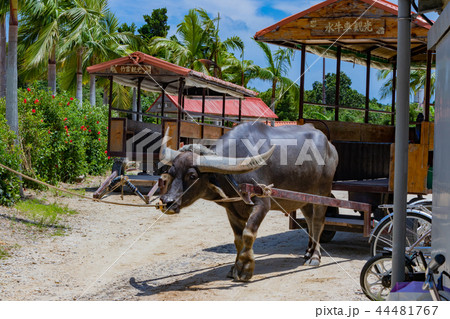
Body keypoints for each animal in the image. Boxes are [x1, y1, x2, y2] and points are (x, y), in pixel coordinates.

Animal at [158, 122, 338, 282]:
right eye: (171, 172)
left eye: (192, 175)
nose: (167, 202)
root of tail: (331, 147)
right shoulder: (232, 209)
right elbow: (238, 239)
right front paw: (234, 267)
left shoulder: (262, 204)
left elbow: (249, 233)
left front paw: (245, 268)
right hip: (305, 198)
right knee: (309, 219)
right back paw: (308, 251)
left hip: (322, 192)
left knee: (318, 221)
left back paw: (315, 257)